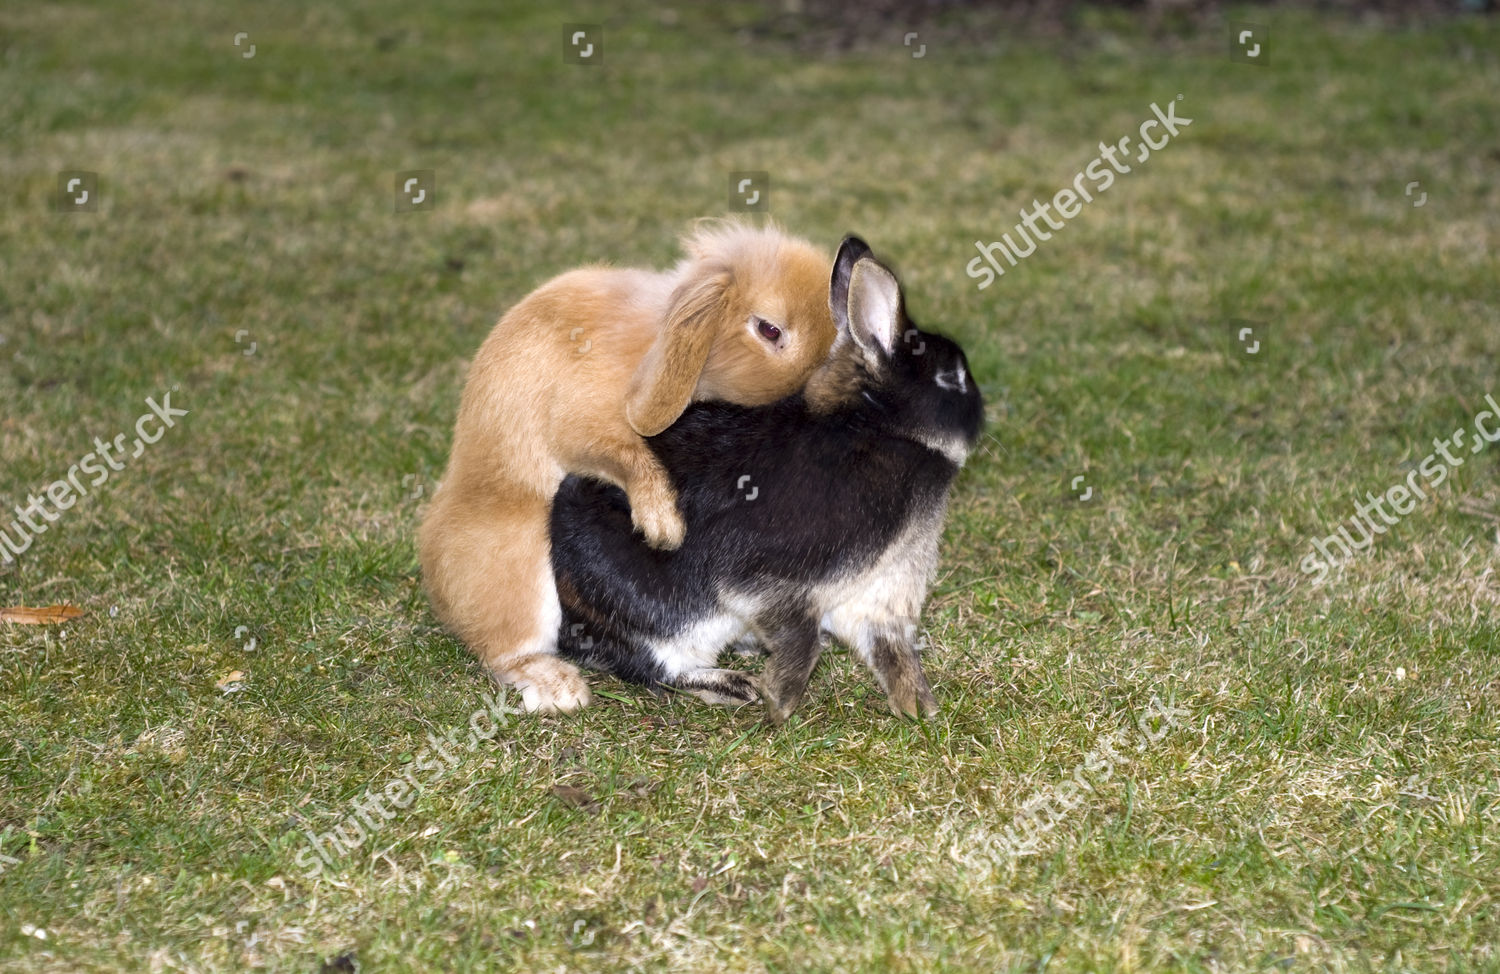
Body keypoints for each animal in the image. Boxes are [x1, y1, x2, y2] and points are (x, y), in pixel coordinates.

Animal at [418, 221, 837, 714]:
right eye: (769, 329)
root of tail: (437, 582)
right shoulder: (587, 421)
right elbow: (626, 456)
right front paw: (663, 526)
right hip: (521, 562)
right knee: (507, 650)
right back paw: (561, 689)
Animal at [549, 236, 985, 723]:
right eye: (951, 377)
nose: (981, 415)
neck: (883, 429)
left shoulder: (878, 590)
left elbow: (892, 652)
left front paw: (919, 709)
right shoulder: (763, 578)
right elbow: (801, 639)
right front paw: (780, 702)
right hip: (665, 620)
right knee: (657, 668)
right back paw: (734, 685)